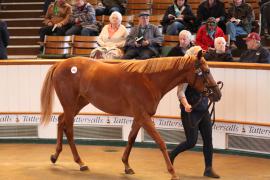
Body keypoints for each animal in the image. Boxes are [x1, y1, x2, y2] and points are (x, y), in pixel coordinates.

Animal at [40, 52, 221, 179]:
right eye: (206, 71)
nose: (217, 94)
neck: (149, 80)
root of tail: (60, 64)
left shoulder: (139, 117)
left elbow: (131, 139)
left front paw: (127, 166)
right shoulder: (144, 117)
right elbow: (161, 142)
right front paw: (172, 172)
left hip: (78, 103)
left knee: (61, 121)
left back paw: (55, 156)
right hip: (70, 104)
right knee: (69, 130)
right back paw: (80, 163)